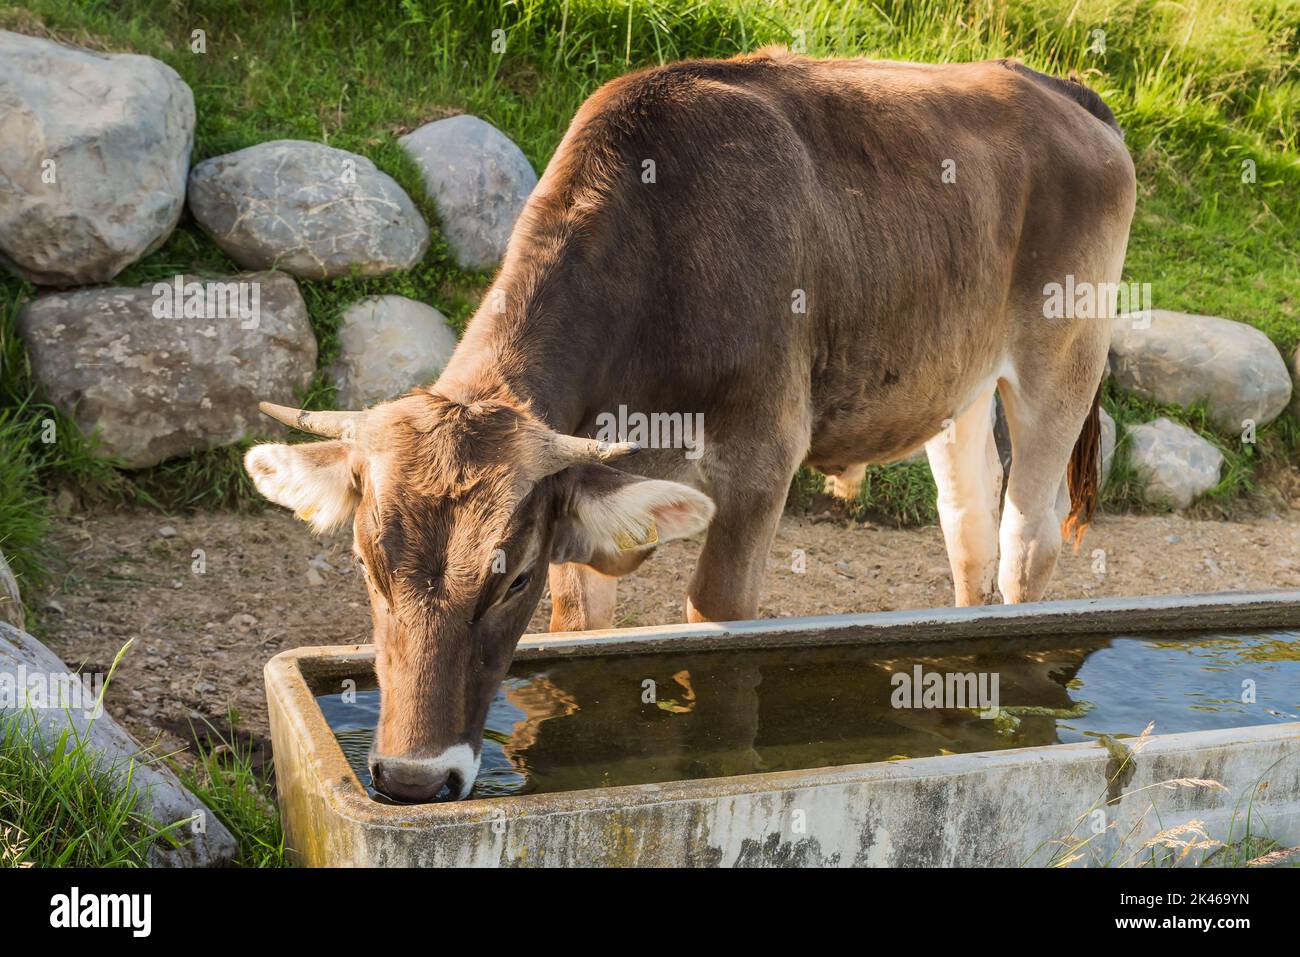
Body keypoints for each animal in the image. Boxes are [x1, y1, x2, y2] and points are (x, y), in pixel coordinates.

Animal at [245, 50, 1138, 800]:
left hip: (1063, 357)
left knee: (1026, 541)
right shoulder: (584, 504)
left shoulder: (760, 464)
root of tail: (1050, 84)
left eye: (513, 578)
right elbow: (583, 636)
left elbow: (715, 625)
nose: (413, 778)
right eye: (367, 563)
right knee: (969, 527)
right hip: (959, 381)